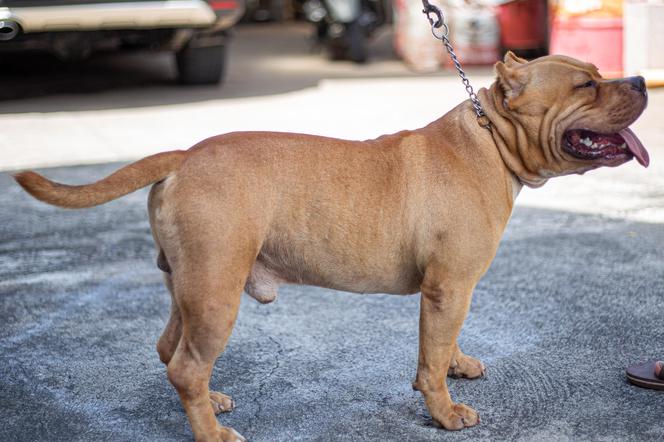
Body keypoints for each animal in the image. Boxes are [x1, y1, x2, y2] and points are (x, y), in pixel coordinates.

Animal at [14, 53, 648, 440]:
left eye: (598, 73)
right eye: (586, 84)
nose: (642, 80)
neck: (490, 140)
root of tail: (185, 155)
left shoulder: (452, 291)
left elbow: (445, 344)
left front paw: (458, 365)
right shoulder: (448, 287)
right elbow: (429, 361)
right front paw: (443, 412)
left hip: (189, 286)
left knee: (173, 352)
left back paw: (208, 404)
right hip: (217, 295)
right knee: (188, 365)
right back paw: (211, 433)